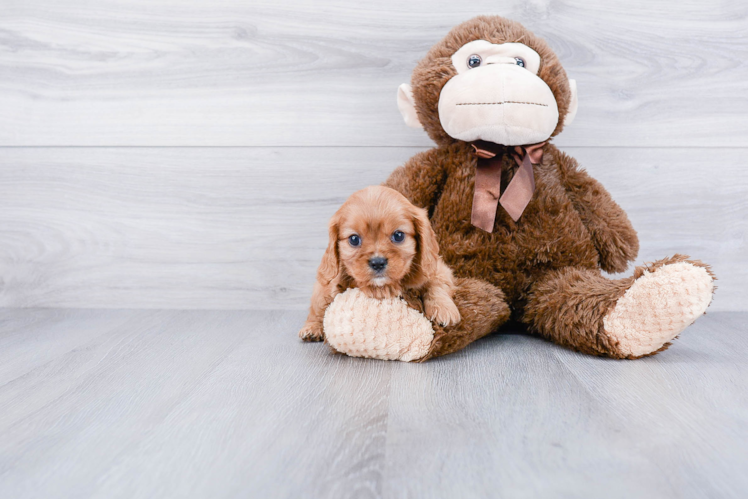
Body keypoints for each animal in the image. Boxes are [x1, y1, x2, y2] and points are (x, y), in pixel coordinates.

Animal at [298, 186, 462, 342]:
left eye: (398, 235)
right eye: (354, 239)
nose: (378, 262)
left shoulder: (439, 270)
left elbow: (435, 285)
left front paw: (444, 310)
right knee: (317, 309)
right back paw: (312, 328)